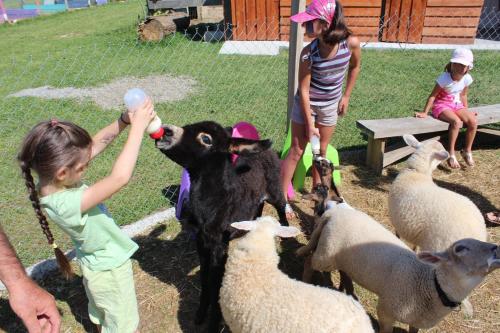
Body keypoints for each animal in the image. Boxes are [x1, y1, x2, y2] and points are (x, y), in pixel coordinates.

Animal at [156, 120, 290, 330]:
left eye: (206, 138)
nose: (166, 131)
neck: (217, 199)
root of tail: (266, 151)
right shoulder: (201, 242)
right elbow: (204, 279)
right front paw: (200, 315)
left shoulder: (219, 245)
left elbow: (215, 282)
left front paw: (213, 323)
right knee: (258, 207)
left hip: (275, 189)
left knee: (281, 208)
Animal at [296, 202, 500, 332]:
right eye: (460, 248)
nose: (496, 249)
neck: (429, 285)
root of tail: (333, 213)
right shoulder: (386, 312)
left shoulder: (417, 320)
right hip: (326, 253)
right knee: (309, 261)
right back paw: (305, 281)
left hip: (340, 257)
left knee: (343, 271)